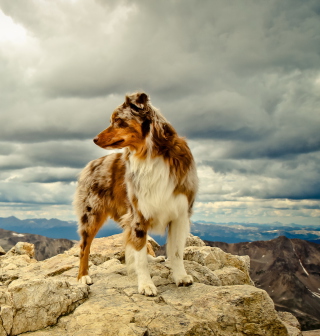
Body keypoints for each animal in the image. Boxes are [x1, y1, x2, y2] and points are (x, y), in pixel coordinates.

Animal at [74, 92, 198, 296]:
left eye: (118, 121)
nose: (94, 139)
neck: (151, 155)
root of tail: (91, 164)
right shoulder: (138, 215)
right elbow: (139, 256)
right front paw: (146, 285)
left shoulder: (179, 214)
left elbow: (176, 252)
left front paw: (180, 277)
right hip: (92, 215)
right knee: (85, 247)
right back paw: (82, 277)